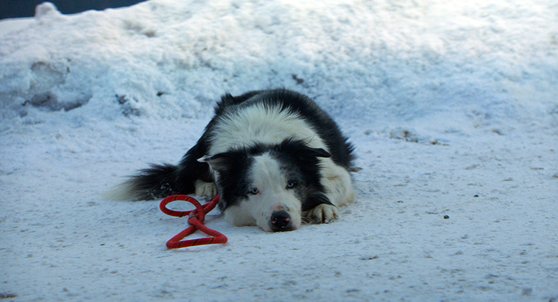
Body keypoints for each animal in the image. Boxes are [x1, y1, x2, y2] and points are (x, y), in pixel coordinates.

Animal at [114, 89, 356, 231]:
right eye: (253, 190)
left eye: (292, 184)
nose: (280, 219)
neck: (260, 140)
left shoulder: (336, 172)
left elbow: (331, 186)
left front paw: (321, 206)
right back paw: (208, 187)